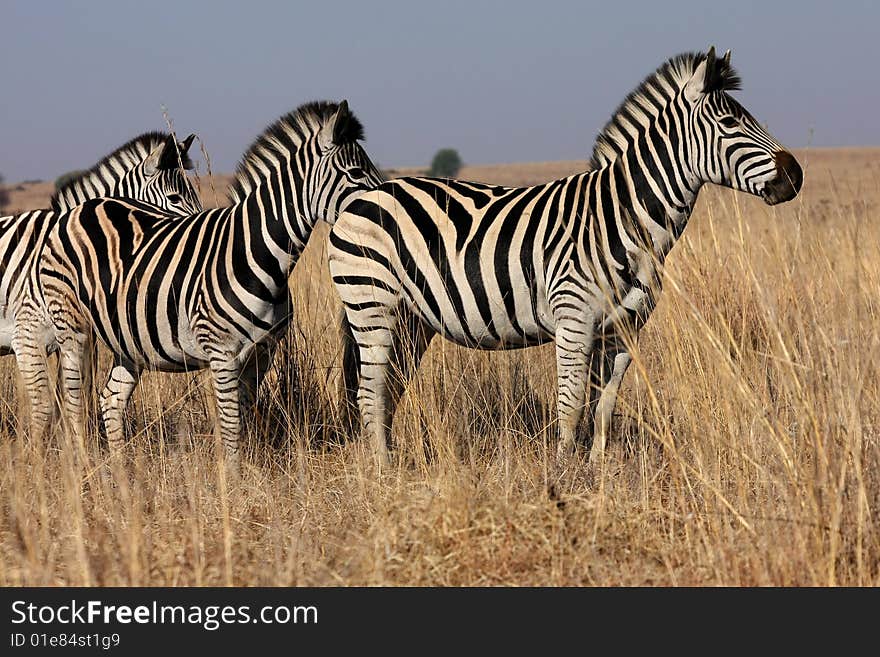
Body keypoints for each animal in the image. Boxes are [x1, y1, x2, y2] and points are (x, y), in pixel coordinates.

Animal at [38, 100, 382, 464]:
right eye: (356, 173)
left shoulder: (261, 353)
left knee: (111, 400)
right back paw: (83, 463)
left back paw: (118, 471)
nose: (383, 209)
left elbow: (244, 420)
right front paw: (231, 477)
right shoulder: (222, 354)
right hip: (73, 328)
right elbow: (230, 427)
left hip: (127, 340)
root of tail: (83, 208)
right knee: (73, 402)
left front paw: (249, 472)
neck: (254, 252)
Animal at [328, 47, 804, 466]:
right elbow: (571, 404)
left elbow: (604, 406)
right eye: (729, 122)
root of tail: (363, 196)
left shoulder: (623, 332)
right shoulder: (574, 321)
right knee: (370, 391)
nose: (795, 174)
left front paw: (597, 473)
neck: (624, 220)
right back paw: (384, 471)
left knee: (389, 386)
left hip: (413, 319)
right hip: (372, 303)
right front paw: (562, 475)